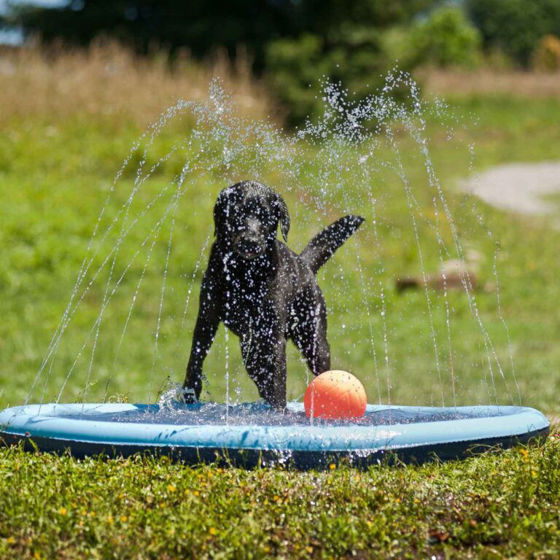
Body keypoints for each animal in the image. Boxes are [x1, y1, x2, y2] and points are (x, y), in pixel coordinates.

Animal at [183, 182, 364, 410]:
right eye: (236, 213)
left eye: (266, 216)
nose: (250, 241)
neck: (244, 274)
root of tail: (304, 264)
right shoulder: (207, 316)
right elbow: (196, 355)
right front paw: (190, 391)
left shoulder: (272, 333)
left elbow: (278, 375)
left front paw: (279, 410)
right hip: (250, 349)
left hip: (313, 339)